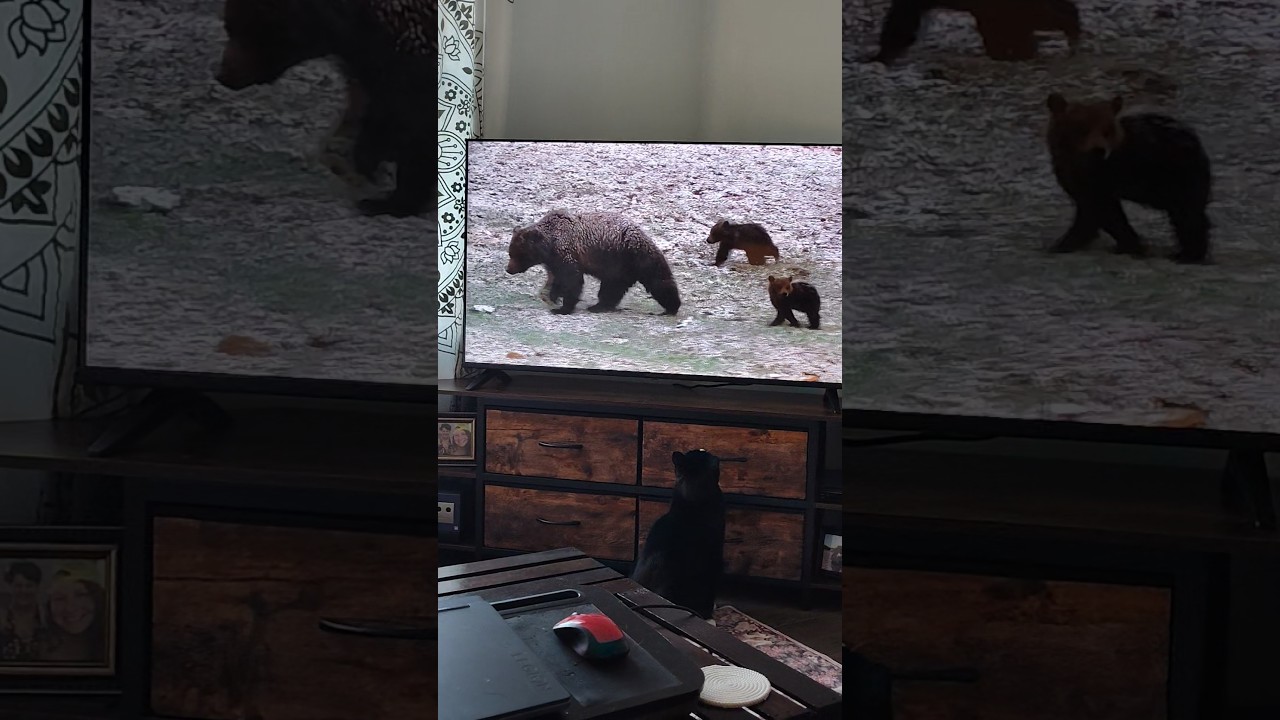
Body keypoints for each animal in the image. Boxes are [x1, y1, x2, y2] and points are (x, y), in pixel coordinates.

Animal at [506, 210, 682, 316]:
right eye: (510, 252)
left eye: (515, 254)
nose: (508, 269)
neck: (548, 245)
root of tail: (643, 235)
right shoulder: (554, 260)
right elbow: (557, 278)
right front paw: (553, 295)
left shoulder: (567, 252)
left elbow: (572, 279)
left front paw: (562, 308)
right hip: (620, 266)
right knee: (614, 287)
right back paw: (600, 305)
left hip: (628, 257)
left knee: (657, 279)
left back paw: (672, 306)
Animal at [1045, 93, 1212, 264]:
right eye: (1081, 128)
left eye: (1107, 130)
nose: (1098, 150)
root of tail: (1194, 139)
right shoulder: (1074, 178)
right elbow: (1100, 212)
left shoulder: (1102, 178)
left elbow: (1099, 211)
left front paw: (1062, 244)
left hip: (1175, 175)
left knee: (1187, 214)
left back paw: (1187, 254)